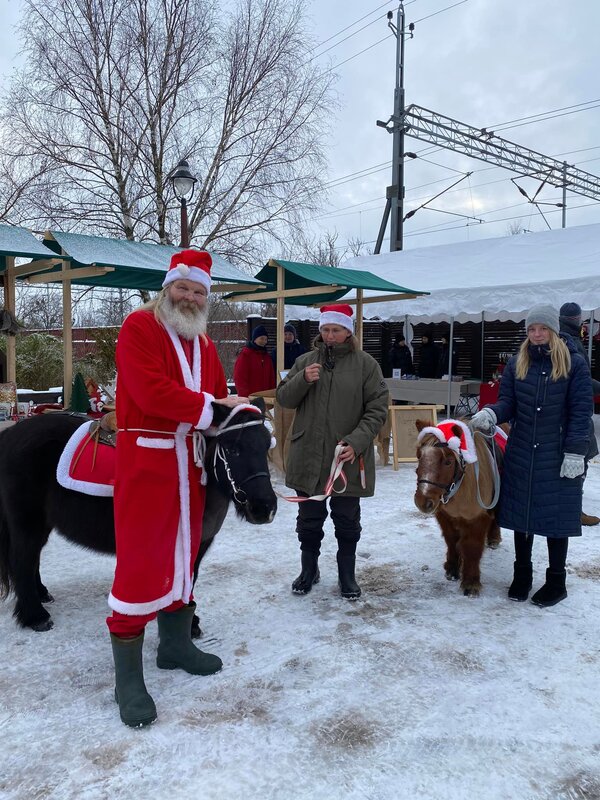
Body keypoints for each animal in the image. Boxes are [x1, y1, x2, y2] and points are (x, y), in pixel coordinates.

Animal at [0, 404, 276, 636]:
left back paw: (41, 594)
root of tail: (8, 436)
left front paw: (189, 622)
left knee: (32, 558)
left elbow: (190, 580)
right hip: (27, 523)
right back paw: (35, 616)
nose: (265, 508)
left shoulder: (198, 545)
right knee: (23, 560)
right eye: (232, 448)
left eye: (266, 446)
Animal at [412, 418, 502, 592]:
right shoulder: (444, 516)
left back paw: (494, 538)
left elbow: (472, 547)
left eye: (448, 461)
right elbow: (452, 540)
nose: (422, 501)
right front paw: (452, 569)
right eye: (419, 456)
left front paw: (471, 582)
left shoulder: (477, 518)